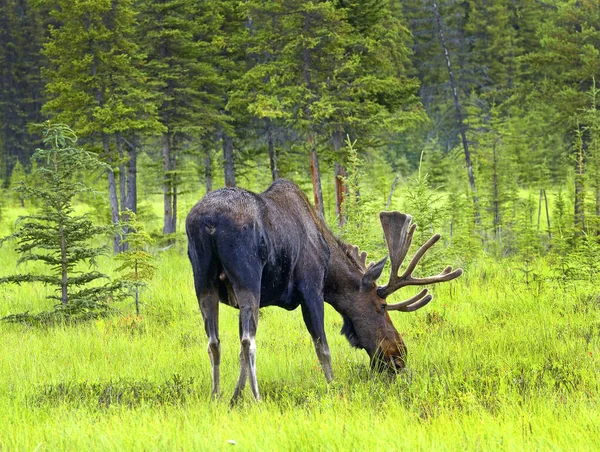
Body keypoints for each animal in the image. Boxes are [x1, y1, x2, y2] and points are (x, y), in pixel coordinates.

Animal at [185, 178, 462, 400]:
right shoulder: (311, 290)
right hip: (248, 279)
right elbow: (323, 348)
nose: (399, 354)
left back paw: (216, 397)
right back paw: (257, 399)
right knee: (247, 341)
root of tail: (209, 222)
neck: (330, 268)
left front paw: (235, 397)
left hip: (204, 282)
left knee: (214, 341)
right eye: (382, 306)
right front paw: (333, 386)